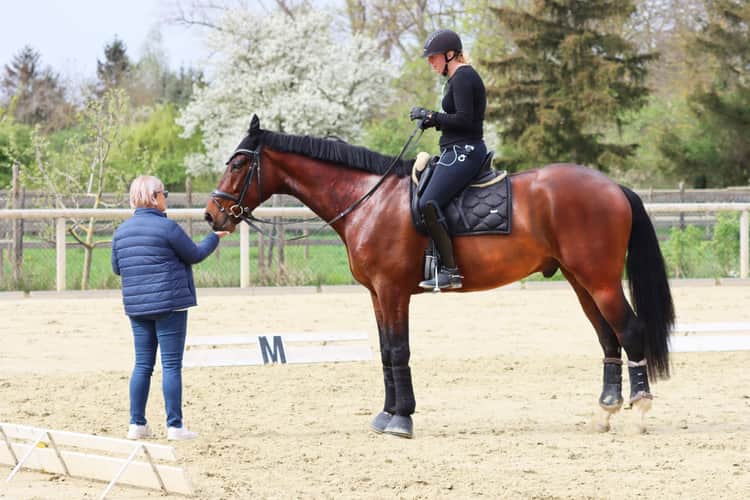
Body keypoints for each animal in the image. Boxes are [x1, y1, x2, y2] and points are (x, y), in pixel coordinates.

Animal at [205, 115, 674, 438]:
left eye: (239, 163)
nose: (212, 215)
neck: (368, 200)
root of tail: (613, 187)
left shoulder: (393, 291)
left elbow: (398, 350)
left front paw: (401, 419)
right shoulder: (377, 294)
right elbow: (384, 352)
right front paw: (387, 414)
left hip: (600, 281)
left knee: (630, 332)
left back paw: (640, 410)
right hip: (581, 282)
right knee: (608, 338)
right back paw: (606, 410)